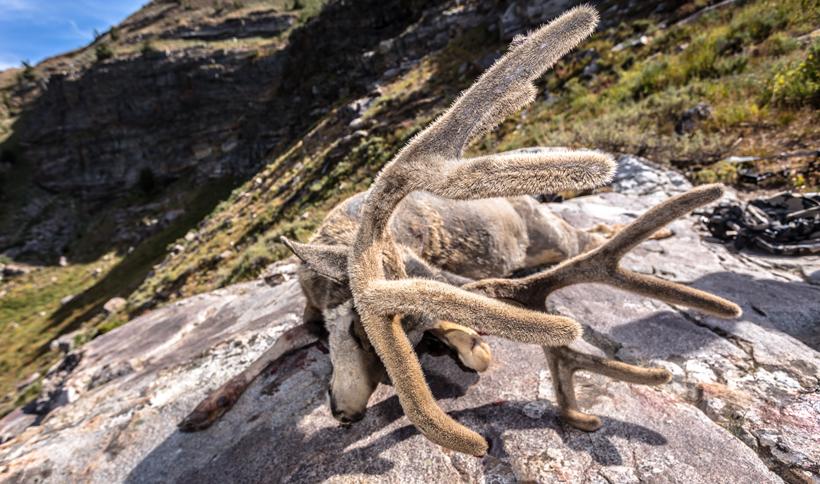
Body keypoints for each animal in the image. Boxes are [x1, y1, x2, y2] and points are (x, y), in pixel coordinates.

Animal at [179, 5, 741, 457]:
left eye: (402, 350)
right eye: (360, 334)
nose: (346, 414)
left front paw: (468, 343)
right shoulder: (309, 305)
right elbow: (273, 345)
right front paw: (202, 410)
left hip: (552, 238)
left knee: (592, 237)